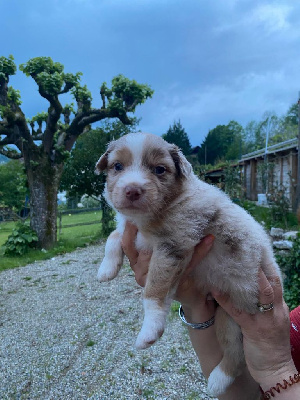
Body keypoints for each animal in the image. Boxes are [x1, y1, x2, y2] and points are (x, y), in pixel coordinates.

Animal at [95, 132, 282, 396]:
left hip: (237, 311)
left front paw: (149, 331)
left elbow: (153, 291)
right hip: (225, 314)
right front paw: (106, 269)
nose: (132, 190)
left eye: (159, 169)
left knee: (237, 354)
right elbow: (114, 236)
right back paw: (219, 380)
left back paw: (216, 381)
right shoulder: (135, 233)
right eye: (117, 166)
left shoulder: (172, 246)